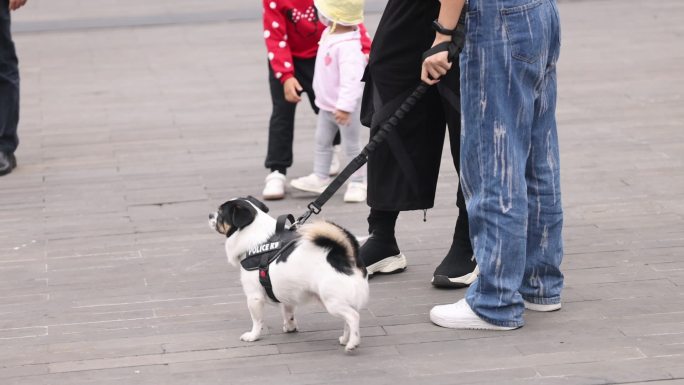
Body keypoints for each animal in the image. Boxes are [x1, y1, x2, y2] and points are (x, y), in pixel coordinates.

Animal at [208, 196, 368, 350]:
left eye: (220, 213)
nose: (209, 215)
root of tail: (342, 257)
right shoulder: (286, 295)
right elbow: (288, 312)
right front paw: (290, 327)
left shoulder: (254, 297)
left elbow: (257, 321)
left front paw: (253, 336)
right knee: (347, 320)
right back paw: (345, 339)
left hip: (333, 301)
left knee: (353, 317)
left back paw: (353, 342)